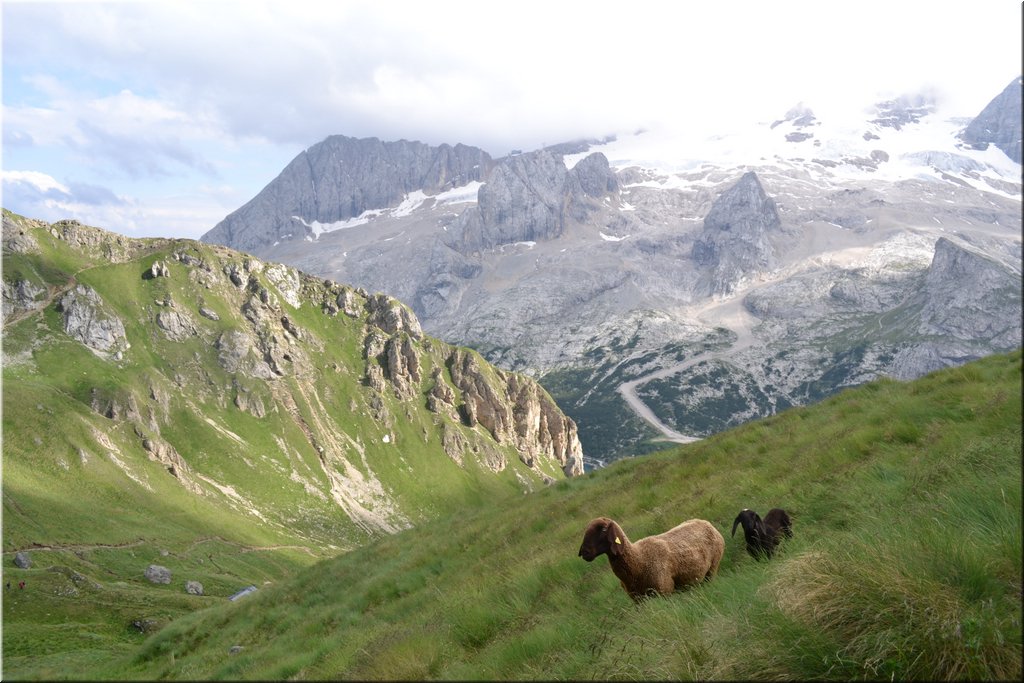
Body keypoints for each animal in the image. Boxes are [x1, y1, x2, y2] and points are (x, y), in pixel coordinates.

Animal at [577, 518, 729, 602]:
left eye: (603, 529)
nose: (584, 552)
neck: (638, 560)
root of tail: (706, 523)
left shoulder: (665, 592)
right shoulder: (638, 600)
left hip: (713, 568)